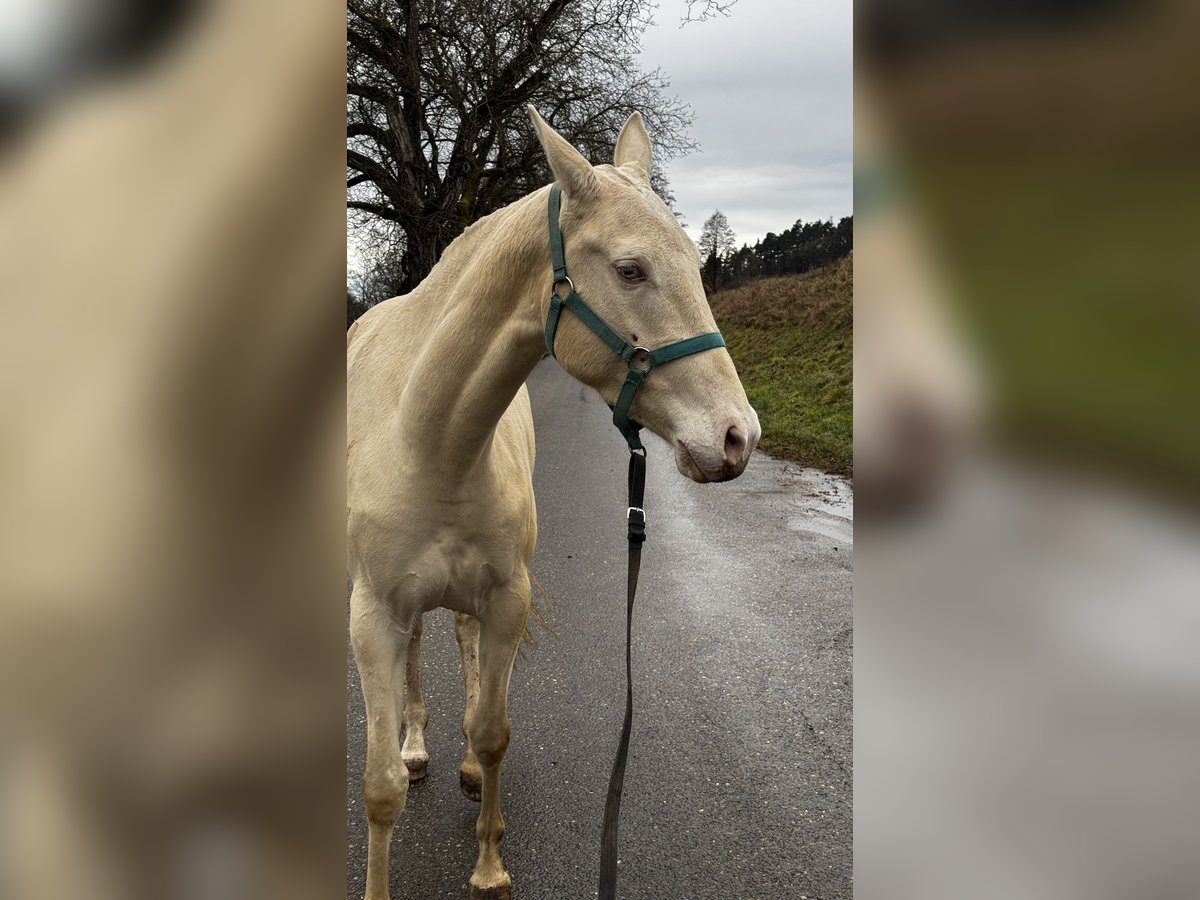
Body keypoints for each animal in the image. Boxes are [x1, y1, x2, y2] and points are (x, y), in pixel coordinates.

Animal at [348, 107, 758, 900]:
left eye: (698, 266)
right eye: (630, 269)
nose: (736, 437)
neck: (429, 439)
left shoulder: (507, 597)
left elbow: (492, 731)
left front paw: (488, 865)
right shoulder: (372, 614)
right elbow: (380, 787)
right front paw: (404, 768)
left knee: (461, 643)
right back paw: (416, 745)